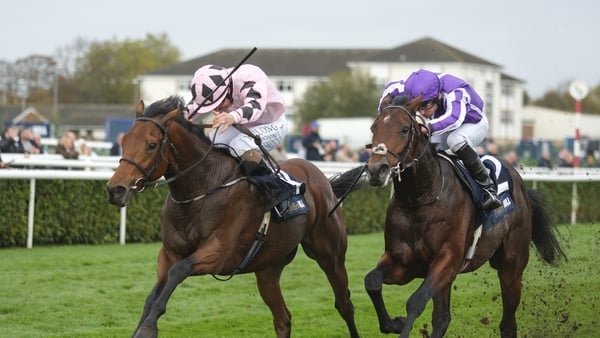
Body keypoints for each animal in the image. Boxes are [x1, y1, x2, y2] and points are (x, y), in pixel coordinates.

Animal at [105, 95, 364, 338]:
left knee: (345, 305)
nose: (115, 189)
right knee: (283, 319)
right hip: (268, 268)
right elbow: (154, 293)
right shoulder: (169, 253)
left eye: (151, 144)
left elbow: (178, 271)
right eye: (124, 141)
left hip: (330, 255)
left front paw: (148, 328)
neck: (200, 190)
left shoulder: (219, 254)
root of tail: (322, 179)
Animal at [364, 93, 564, 336]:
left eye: (404, 129)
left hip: (511, 267)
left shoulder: (447, 259)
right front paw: (394, 323)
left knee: (507, 322)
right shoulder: (403, 262)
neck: (421, 199)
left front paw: (402, 323)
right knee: (442, 318)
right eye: (373, 128)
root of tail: (521, 185)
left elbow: (415, 302)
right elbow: (372, 282)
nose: (376, 170)